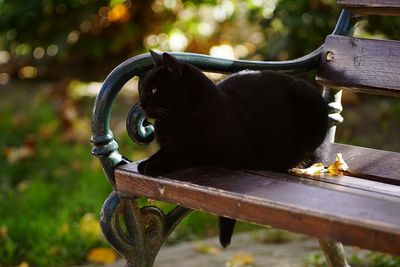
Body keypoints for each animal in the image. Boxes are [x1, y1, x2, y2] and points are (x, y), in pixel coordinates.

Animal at [137, 50, 328, 249]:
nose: (141, 103)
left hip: (307, 103)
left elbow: (181, 156)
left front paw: (153, 166)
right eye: (141, 88)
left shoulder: (219, 153)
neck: (174, 122)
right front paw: (145, 162)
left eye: (154, 90)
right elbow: (162, 152)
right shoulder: (169, 145)